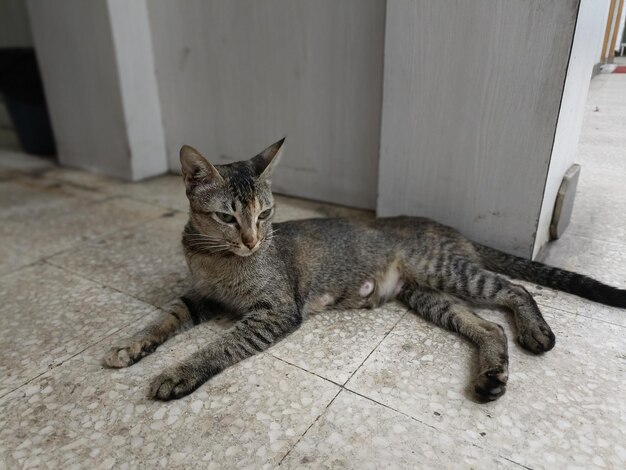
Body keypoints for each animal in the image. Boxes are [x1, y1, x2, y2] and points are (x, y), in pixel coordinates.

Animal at [102, 138, 624, 402]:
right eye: (228, 218)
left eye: (265, 215)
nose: (253, 240)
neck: (216, 258)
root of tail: (450, 228)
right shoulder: (199, 296)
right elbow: (165, 318)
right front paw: (131, 346)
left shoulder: (275, 311)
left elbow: (220, 346)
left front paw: (179, 372)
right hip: (427, 294)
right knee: (488, 327)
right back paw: (492, 376)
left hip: (448, 272)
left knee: (515, 289)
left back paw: (535, 332)